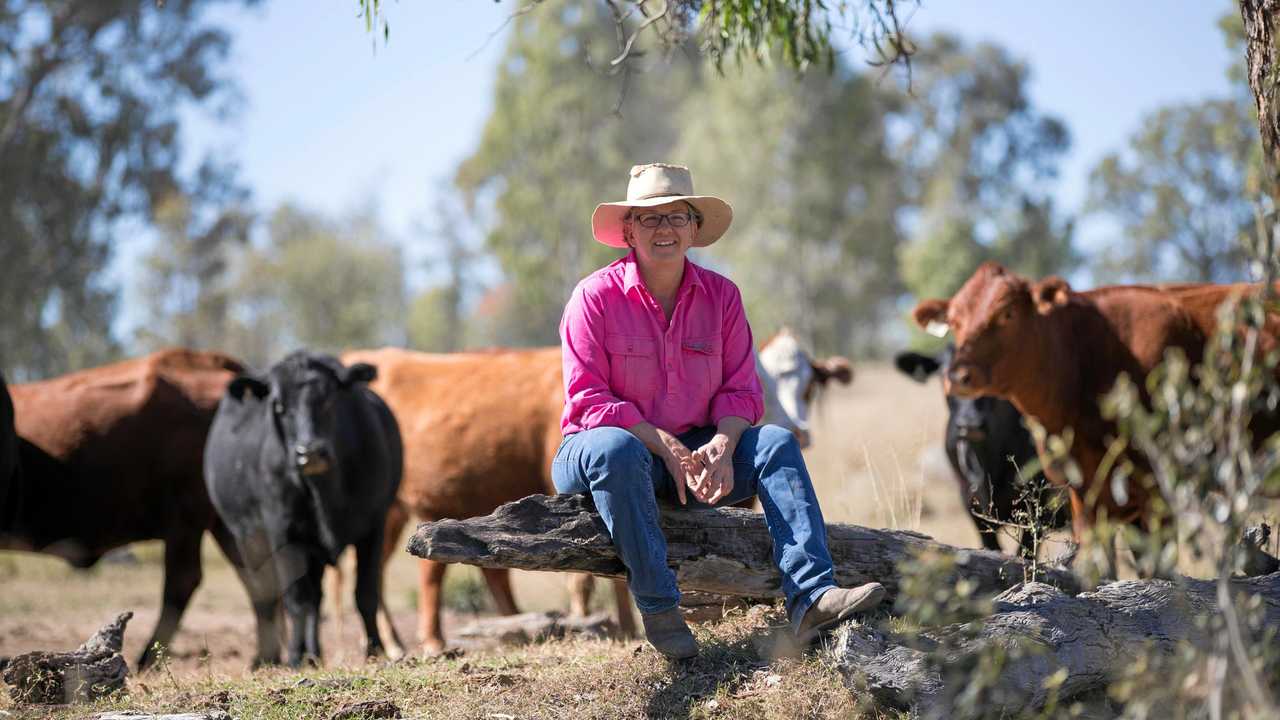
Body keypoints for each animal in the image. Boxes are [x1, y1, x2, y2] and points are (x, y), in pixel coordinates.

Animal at [203, 351, 399, 666]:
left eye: (330, 398)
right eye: (280, 407)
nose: (310, 453)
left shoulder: (373, 526)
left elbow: (365, 594)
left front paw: (375, 650)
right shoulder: (284, 534)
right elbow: (296, 599)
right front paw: (295, 655)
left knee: (316, 598)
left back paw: (314, 652)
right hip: (248, 539)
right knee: (267, 597)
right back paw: (271, 657)